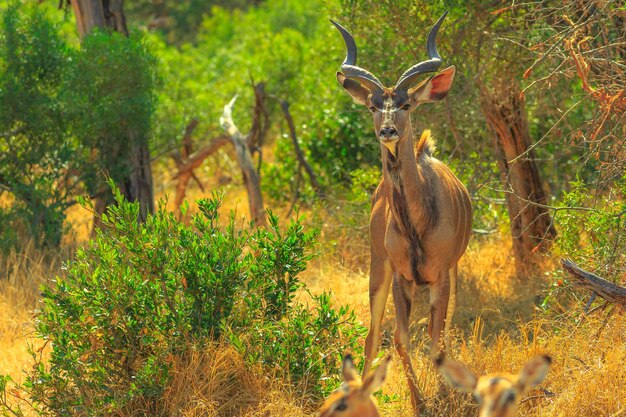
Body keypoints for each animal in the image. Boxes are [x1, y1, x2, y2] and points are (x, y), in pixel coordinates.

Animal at [332, 12, 468, 410]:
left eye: (406, 104)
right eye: (373, 106)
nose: (388, 131)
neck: (416, 226)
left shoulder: (440, 275)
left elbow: (436, 340)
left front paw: (442, 396)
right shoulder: (400, 277)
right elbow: (399, 339)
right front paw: (420, 403)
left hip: (451, 273)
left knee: (445, 330)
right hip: (378, 269)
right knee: (372, 335)